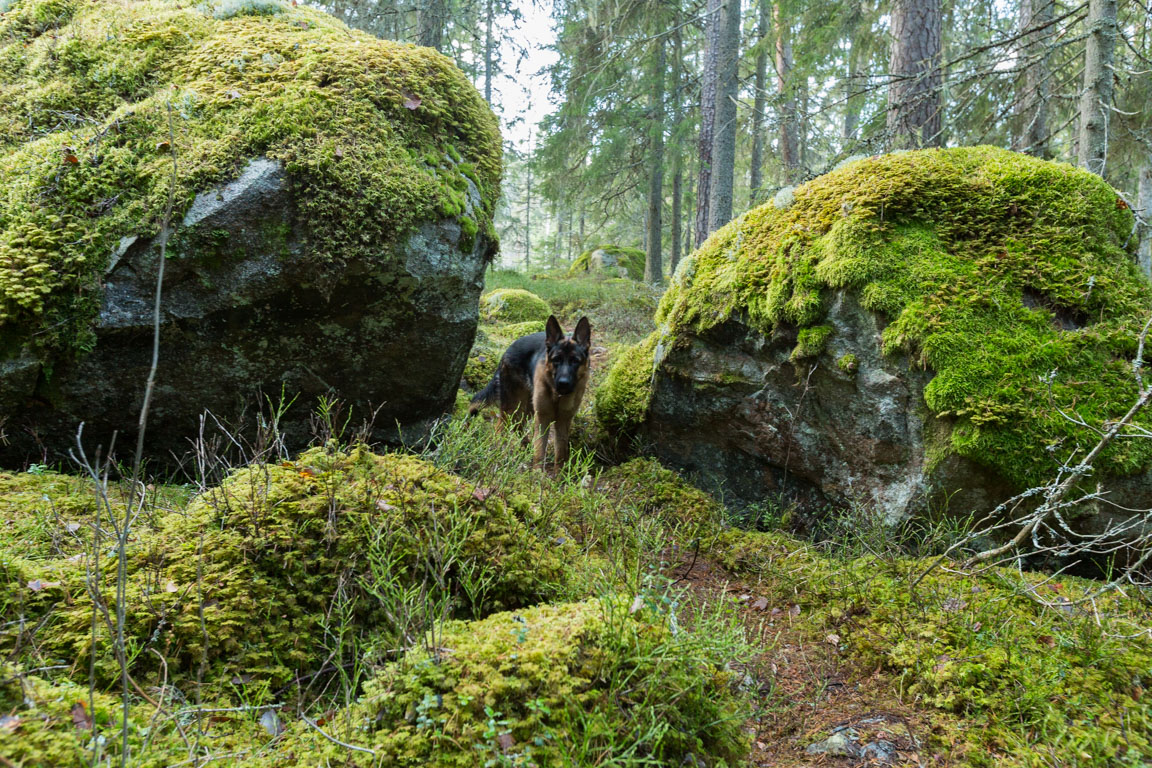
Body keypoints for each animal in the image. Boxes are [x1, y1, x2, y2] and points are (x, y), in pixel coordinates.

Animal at [470, 313, 594, 469]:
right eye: (556, 359)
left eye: (575, 361)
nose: (563, 383)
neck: (557, 396)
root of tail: (508, 349)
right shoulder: (542, 418)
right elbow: (540, 450)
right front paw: (537, 473)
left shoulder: (563, 421)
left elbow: (560, 453)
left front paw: (559, 474)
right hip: (512, 407)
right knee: (501, 427)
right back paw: (499, 451)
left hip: (527, 408)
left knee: (518, 425)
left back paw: (525, 447)